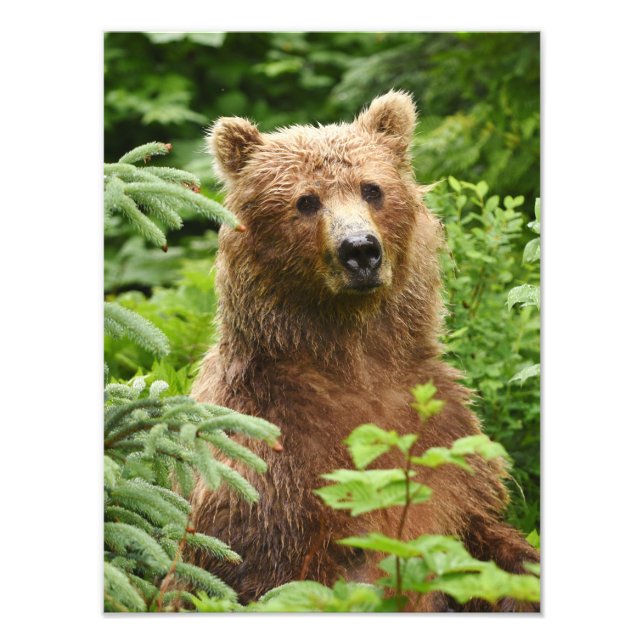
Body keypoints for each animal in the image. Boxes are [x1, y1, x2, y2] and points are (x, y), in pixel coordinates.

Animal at [188, 91, 539, 612]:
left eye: (371, 189)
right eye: (306, 200)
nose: (360, 250)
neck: (354, 357)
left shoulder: (444, 440)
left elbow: (482, 538)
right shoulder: (267, 455)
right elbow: (262, 572)